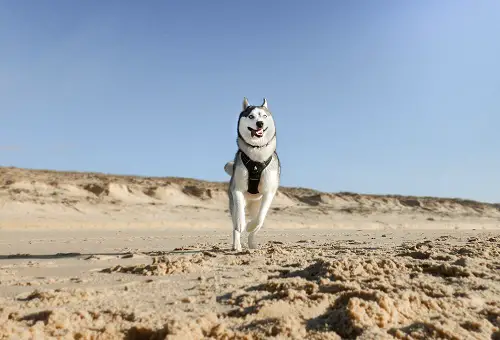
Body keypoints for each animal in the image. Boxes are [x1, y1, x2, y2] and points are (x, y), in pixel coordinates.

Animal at [224, 97, 280, 251]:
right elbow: (239, 217)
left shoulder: (269, 193)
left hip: (257, 204)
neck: (256, 154)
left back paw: (252, 242)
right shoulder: (237, 189)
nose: (260, 123)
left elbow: (260, 218)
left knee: (257, 223)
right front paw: (242, 224)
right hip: (234, 203)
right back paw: (237, 244)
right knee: (235, 225)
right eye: (251, 116)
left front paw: (249, 226)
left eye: (264, 116)